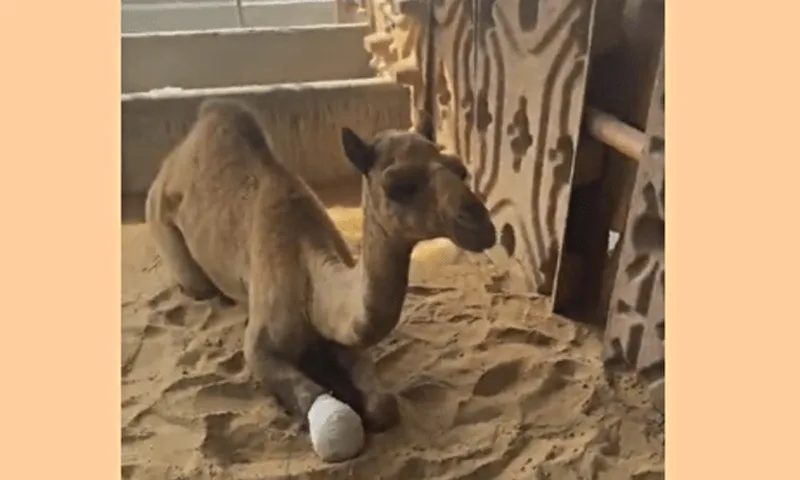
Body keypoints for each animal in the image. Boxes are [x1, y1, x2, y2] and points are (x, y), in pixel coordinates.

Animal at [145, 97, 497, 441]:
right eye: (397, 186)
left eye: (460, 170)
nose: (480, 224)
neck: (309, 279)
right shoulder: (259, 348)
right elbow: (321, 405)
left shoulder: (348, 337)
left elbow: (382, 404)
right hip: (163, 223)